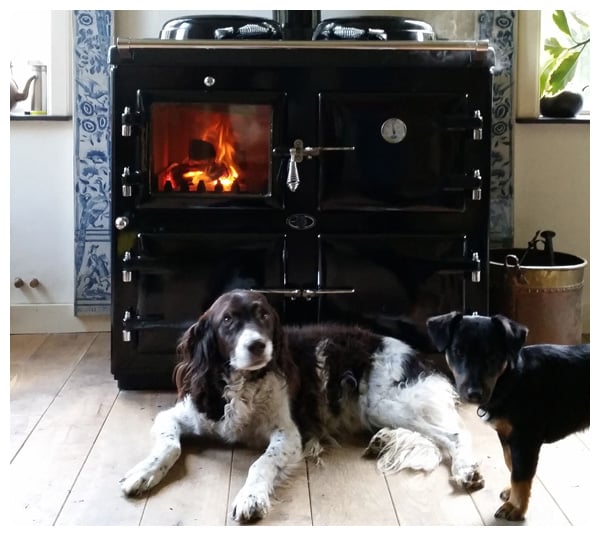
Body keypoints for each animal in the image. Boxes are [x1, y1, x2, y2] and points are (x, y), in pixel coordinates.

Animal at [119, 292, 486, 520]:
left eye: (264, 316)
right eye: (228, 320)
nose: (258, 345)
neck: (243, 383)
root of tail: (417, 356)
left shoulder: (288, 435)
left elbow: (261, 464)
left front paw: (251, 497)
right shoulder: (177, 415)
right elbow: (168, 446)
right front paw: (142, 473)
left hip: (384, 403)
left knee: (454, 434)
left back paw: (466, 471)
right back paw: (382, 440)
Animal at [426, 312, 592, 520]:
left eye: (493, 355)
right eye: (458, 352)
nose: (474, 394)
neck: (510, 379)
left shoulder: (525, 438)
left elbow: (520, 474)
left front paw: (515, 507)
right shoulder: (506, 435)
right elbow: (511, 464)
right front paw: (512, 494)